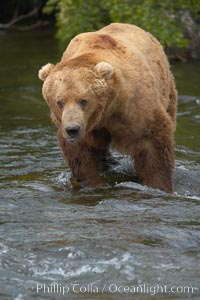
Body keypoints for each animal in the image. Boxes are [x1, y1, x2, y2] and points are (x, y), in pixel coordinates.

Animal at [38, 22, 177, 192]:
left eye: (83, 100)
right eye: (60, 102)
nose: (72, 129)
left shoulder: (134, 107)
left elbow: (153, 144)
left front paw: (158, 185)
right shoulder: (85, 128)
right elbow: (81, 155)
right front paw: (93, 183)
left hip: (166, 87)